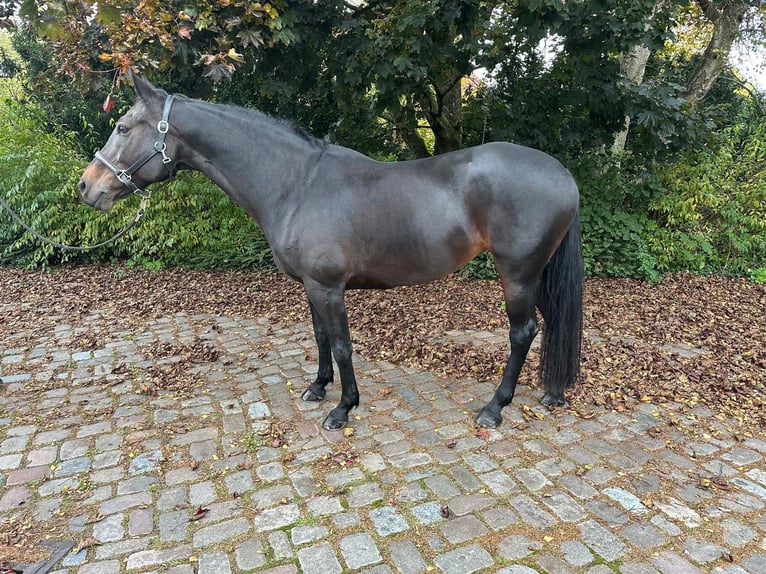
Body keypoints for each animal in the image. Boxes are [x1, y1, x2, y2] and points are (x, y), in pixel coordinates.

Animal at [78, 75, 584, 431]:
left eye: (122, 127)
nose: (86, 187)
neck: (296, 184)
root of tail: (561, 173)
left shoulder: (328, 286)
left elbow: (341, 343)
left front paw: (343, 408)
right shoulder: (311, 285)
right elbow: (320, 337)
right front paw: (318, 388)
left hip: (516, 274)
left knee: (523, 332)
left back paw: (494, 408)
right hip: (535, 275)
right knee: (551, 322)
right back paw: (552, 393)